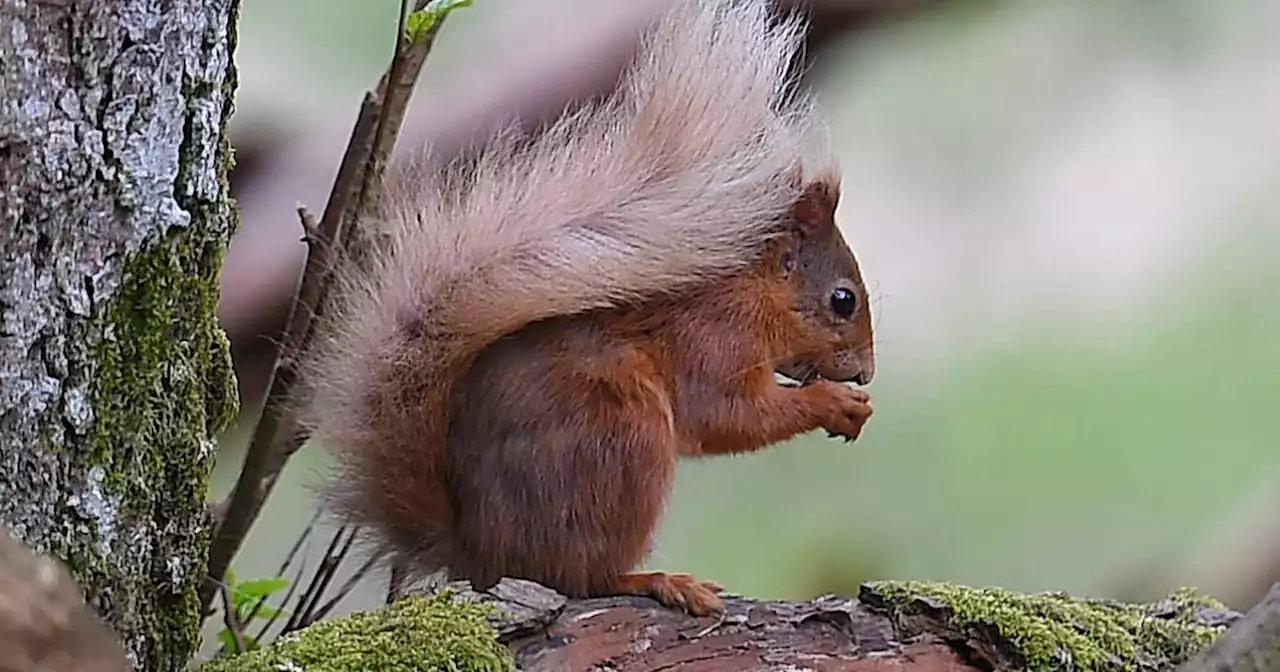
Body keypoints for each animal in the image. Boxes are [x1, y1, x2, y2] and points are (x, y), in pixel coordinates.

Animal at [300, 0, 880, 619]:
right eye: (842, 300)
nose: (867, 372)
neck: (749, 288)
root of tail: (479, 552)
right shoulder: (715, 336)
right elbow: (725, 415)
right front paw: (834, 403)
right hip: (623, 442)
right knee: (583, 578)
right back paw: (657, 580)